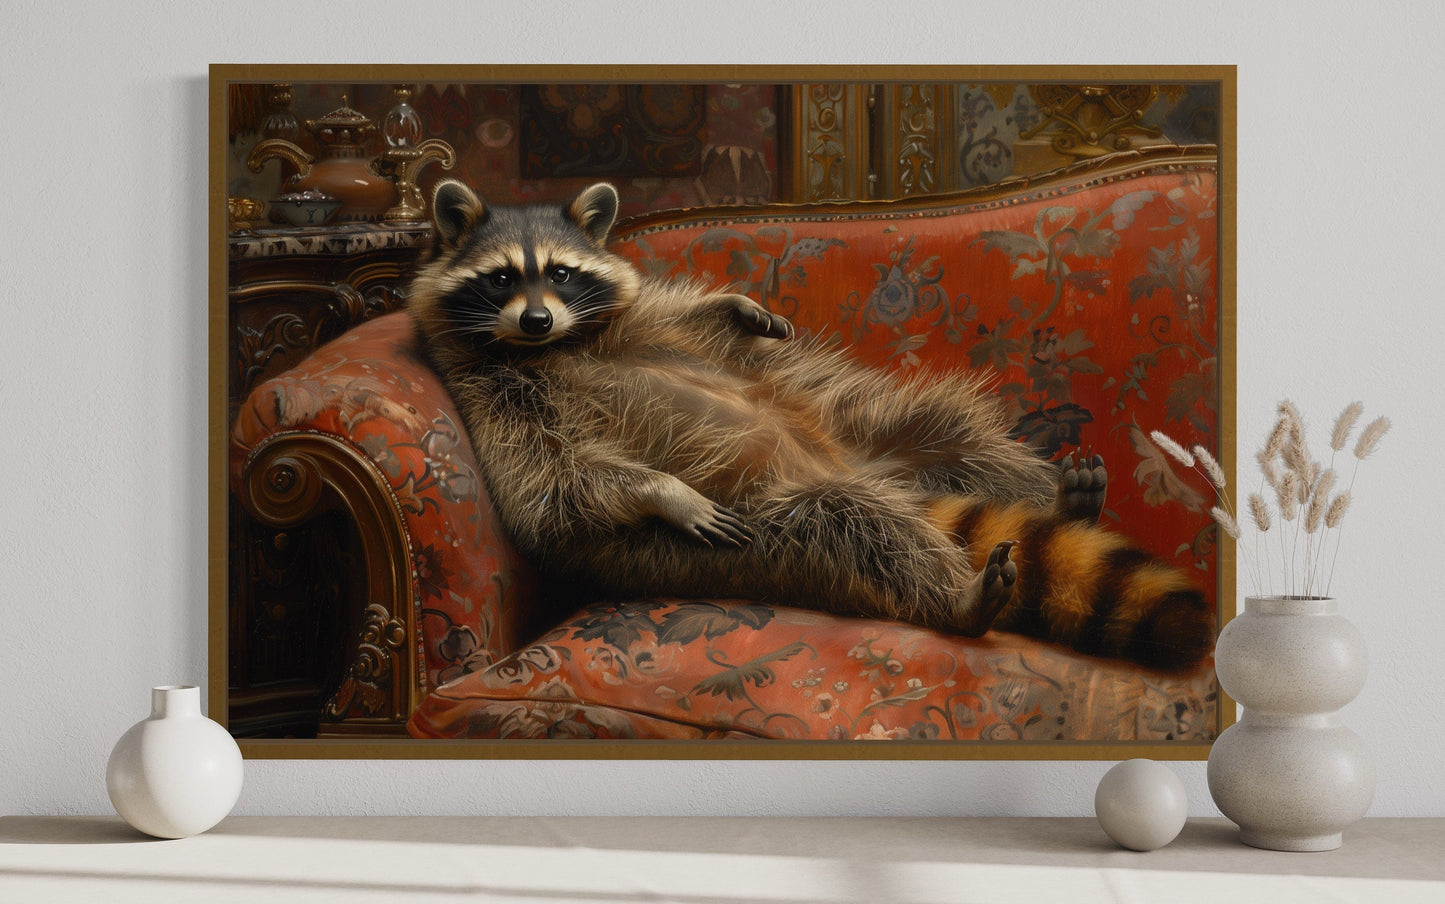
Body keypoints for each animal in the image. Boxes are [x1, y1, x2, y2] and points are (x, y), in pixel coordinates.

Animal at [406, 180, 1215, 670]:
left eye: (562, 274)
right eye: (501, 279)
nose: (537, 319)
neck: (553, 347)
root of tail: (866, 475)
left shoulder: (633, 321)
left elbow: (691, 315)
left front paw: (732, 304)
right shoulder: (495, 399)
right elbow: (559, 482)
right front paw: (662, 490)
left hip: (869, 428)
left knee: (957, 432)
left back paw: (1055, 497)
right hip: (754, 534)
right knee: (849, 529)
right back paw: (955, 600)